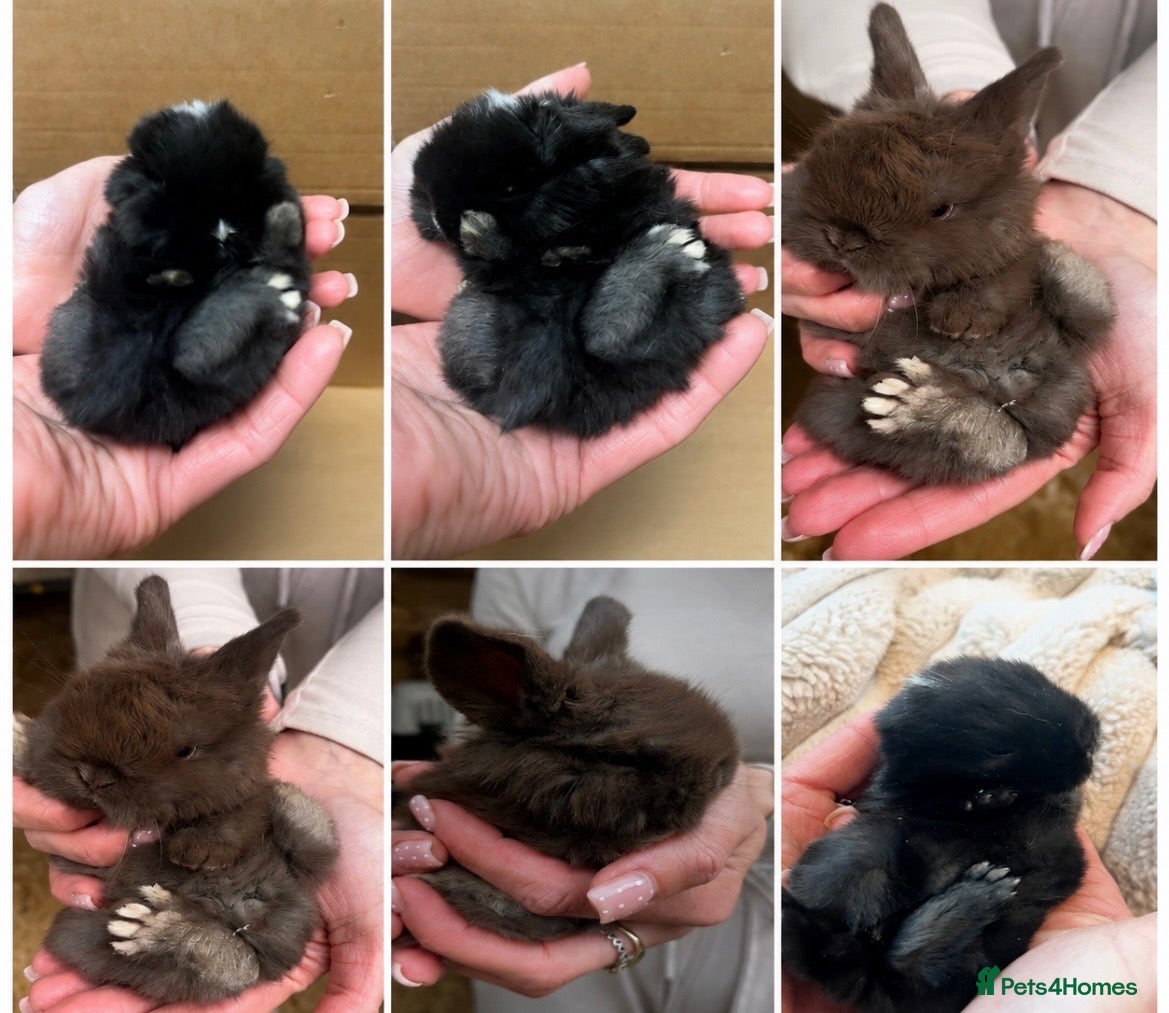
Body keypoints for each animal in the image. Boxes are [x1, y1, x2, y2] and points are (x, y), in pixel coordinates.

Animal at [14, 576, 338, 1003]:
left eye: (186, 751)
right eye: (70, 707)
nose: (93, 776)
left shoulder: (241, 800)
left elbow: (240, 813)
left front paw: (196, 853)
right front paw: (19, 736)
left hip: (300, 870)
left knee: (240, 963)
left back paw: (154, 923)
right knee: (235, 963)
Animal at [39, 100, 311, 450]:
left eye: (248, 184)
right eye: (161, 183)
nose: (222, 233)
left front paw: (282, 218)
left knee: (192, 354)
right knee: (189, 351)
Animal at [782, 3, 1115, 484]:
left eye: (941, 209)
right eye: (816, 164)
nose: (843, 240)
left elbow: (1006, 273)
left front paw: (961, 320)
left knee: (1012, 436)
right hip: (845, 406)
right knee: (1002, 441)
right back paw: (914, 401)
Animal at [782, 657, 1100, 1013]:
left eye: (1038, 678)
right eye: (998, 750)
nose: (1091, 735)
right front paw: (989, 798)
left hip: (984, 951)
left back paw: (976, 894)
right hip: (861, 856)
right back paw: (980, 890)